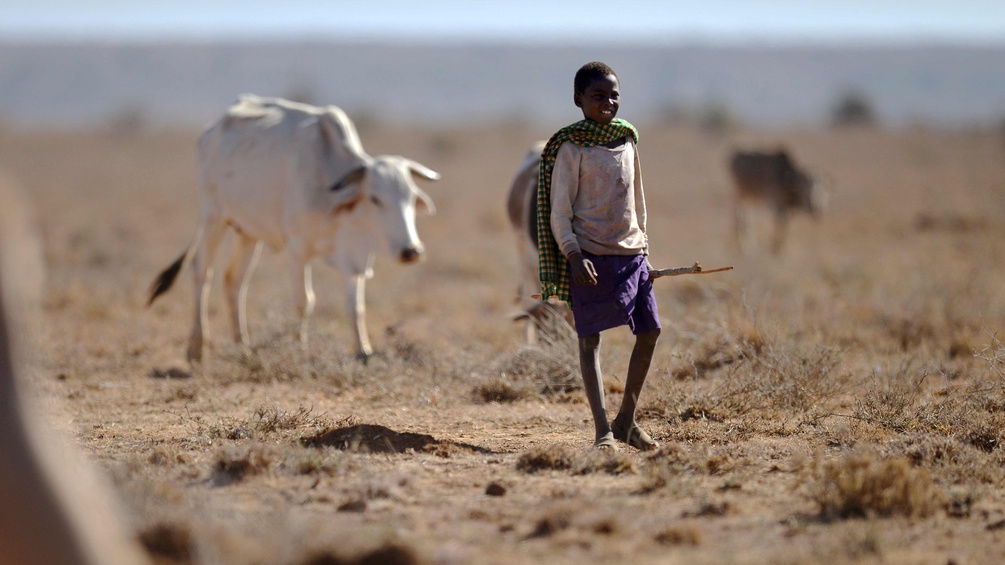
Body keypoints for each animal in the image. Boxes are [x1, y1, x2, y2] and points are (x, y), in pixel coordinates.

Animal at [146, 95, 438, 359]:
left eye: (411, 197)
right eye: (376, 199)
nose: (411, 250)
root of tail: (211, 130)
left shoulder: (354, 258)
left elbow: (355, 307)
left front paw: (363, 350)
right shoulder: (298, 249)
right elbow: (304, 302)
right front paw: (301, 349)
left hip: (248, 232)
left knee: (234, 281)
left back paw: (243, 347)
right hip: (213, 217)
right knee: (201, 271)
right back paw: (196, 348)